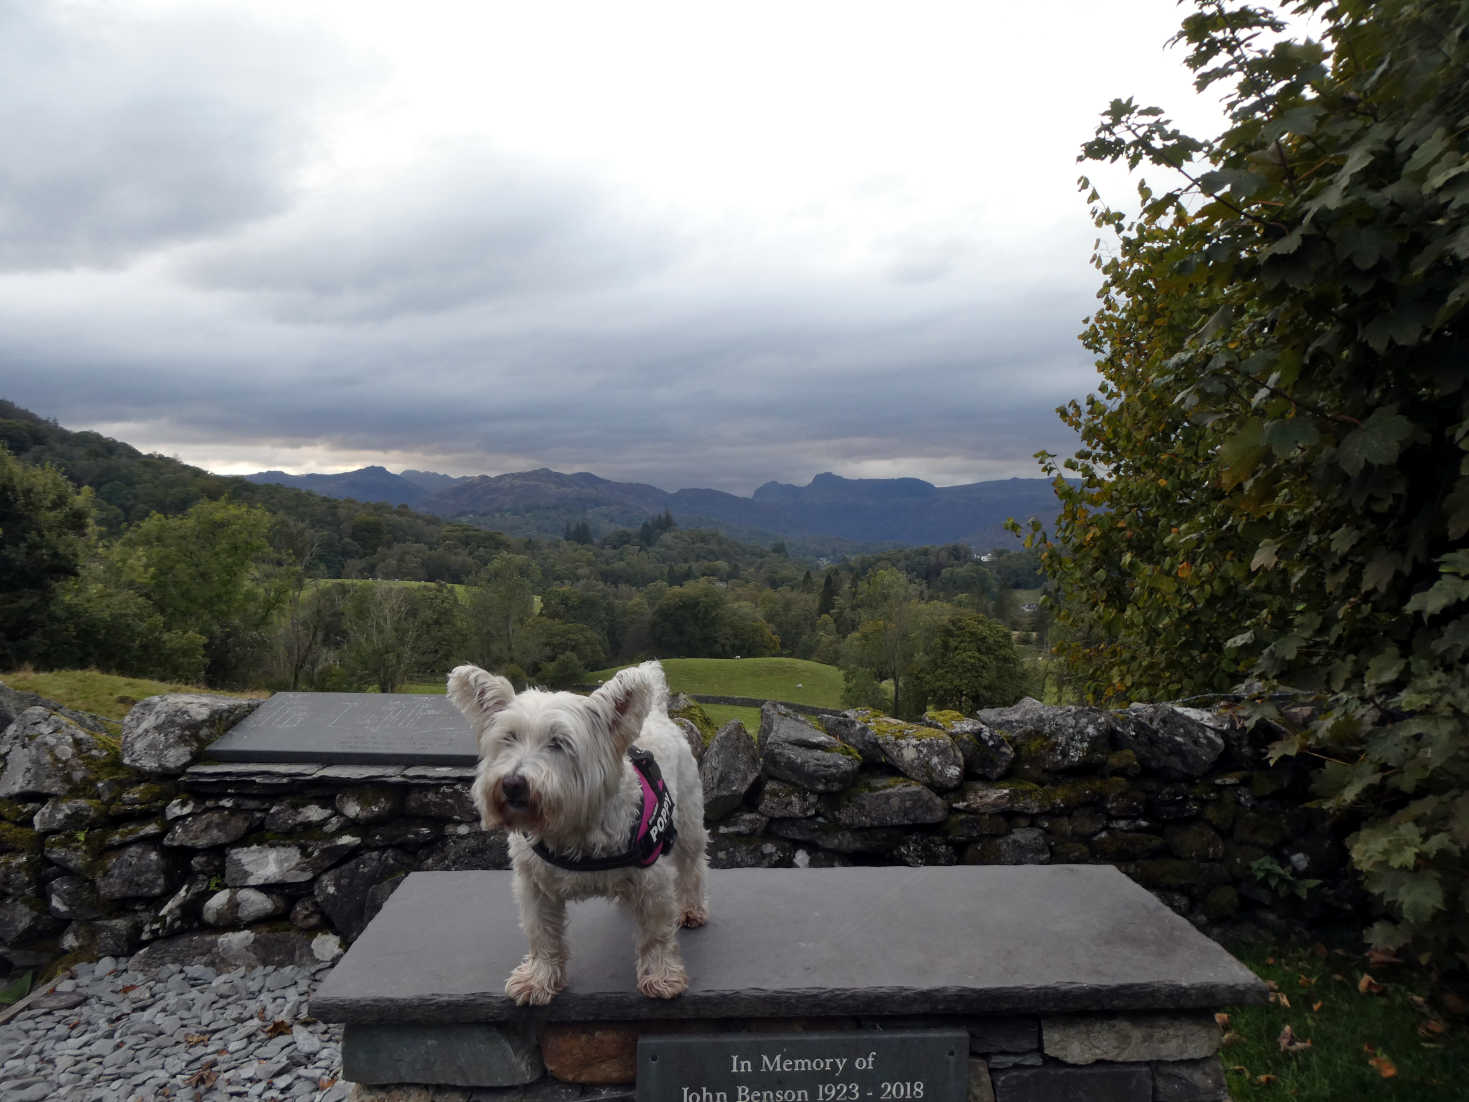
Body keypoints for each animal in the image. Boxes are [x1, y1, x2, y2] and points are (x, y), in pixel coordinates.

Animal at [443, 661, 708, 1005]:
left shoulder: (653, 881)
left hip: (689, 821)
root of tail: (659, 714)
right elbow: (542, 934)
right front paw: (538, 979)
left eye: (558, 742)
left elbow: (656, 933)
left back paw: (691, 909)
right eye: (509, 738)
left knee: (692, 866)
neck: (571, 827)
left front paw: (662, 977)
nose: (512, 784)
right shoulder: (534, 886)